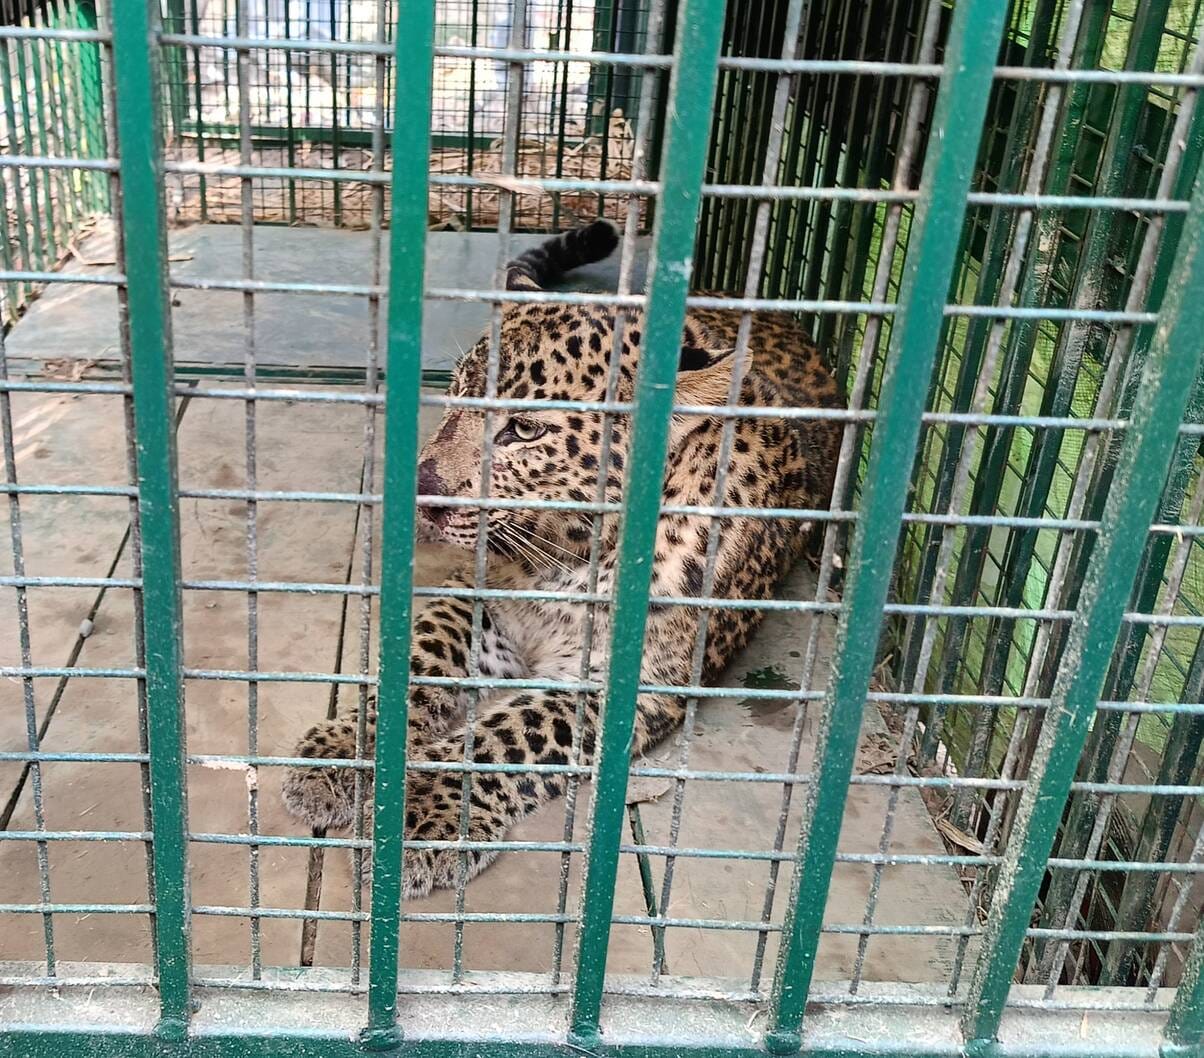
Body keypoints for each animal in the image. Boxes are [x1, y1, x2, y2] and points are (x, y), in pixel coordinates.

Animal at [282, 219, 843, 897]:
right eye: (458, 390)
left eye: (525, 431)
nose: (422, 490)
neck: (561, 558)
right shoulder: (476, 603)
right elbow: (419, 664)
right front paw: (345, 749)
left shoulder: (629, 681)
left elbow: (507, 734)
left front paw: (418, 805)